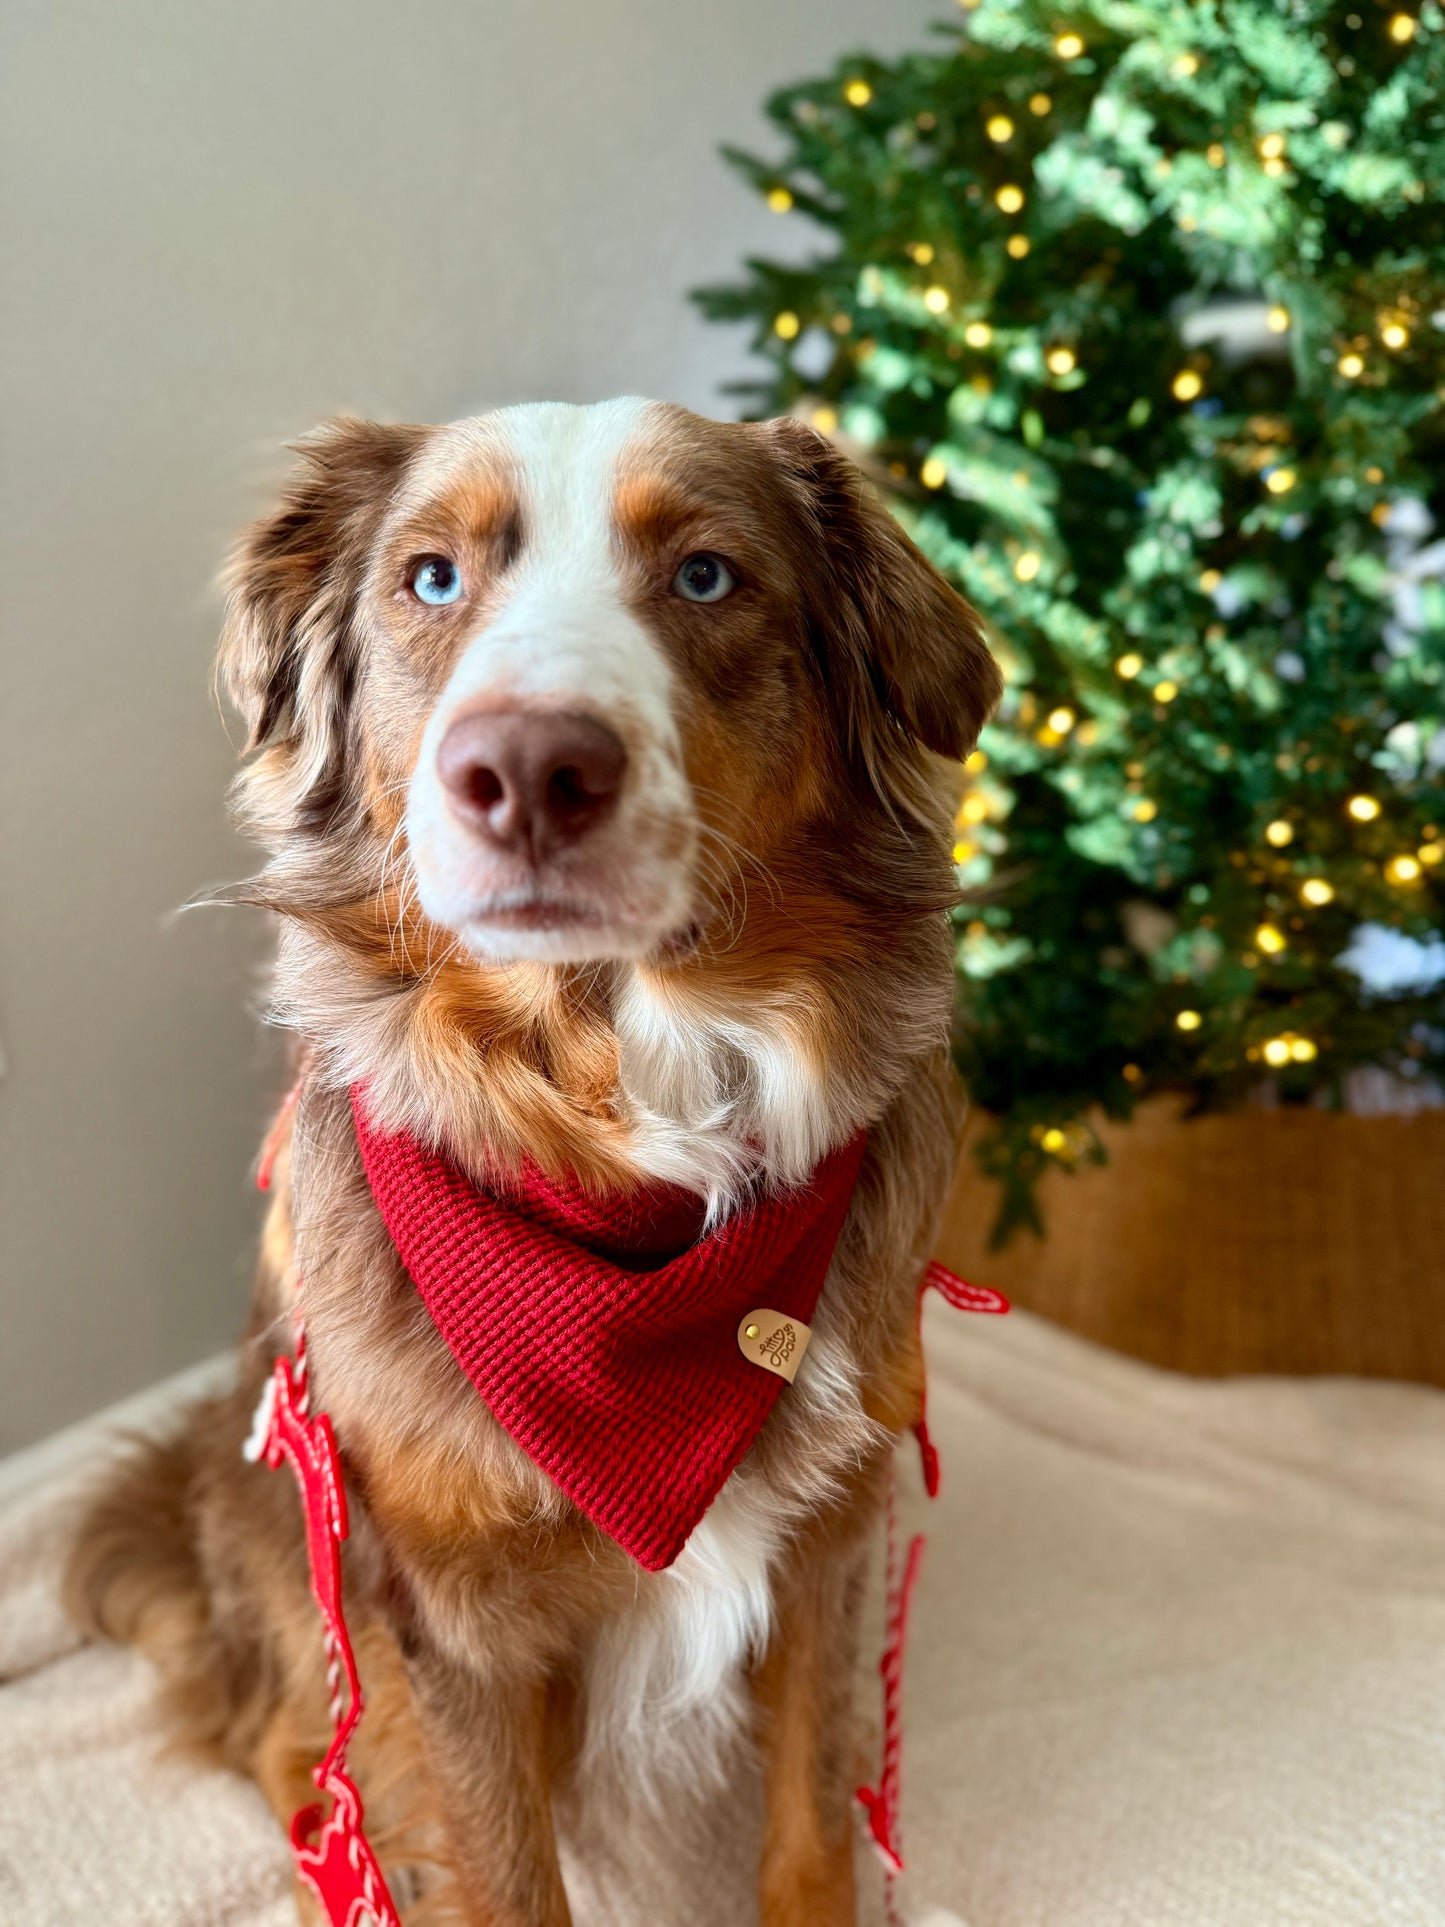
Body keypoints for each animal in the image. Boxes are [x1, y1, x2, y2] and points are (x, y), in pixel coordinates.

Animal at [62, 398, 1001, 1919]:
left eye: (705, 575)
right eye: (432, 579)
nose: (525, 773)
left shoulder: (831, 1528)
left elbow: (814, 1814)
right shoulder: (444, 1605)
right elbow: (505, 1873)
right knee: (285, 1733)